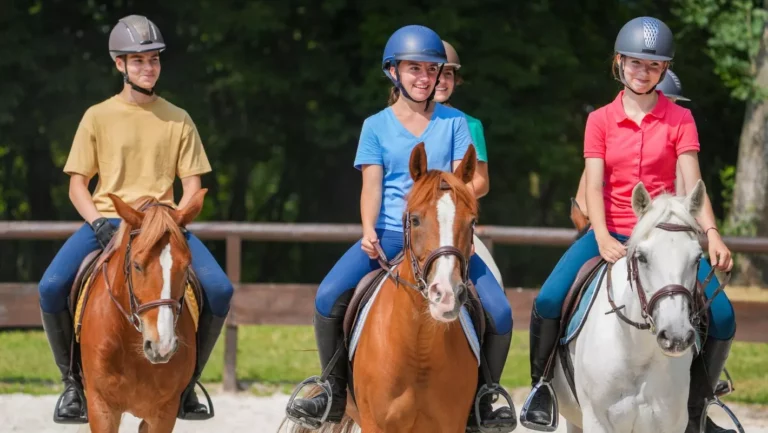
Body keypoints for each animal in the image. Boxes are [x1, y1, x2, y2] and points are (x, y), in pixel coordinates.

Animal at [282, 144, 484, 432]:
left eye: (472, 222)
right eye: (415, 220)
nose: (446, 295)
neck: (419, 345)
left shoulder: (451, 426)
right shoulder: (376, 424)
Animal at [552, 181, 708, 430]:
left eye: (697, 258)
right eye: (642, 257)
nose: (676, 337)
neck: (636, 350)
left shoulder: (670, 423)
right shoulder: (596, 421)